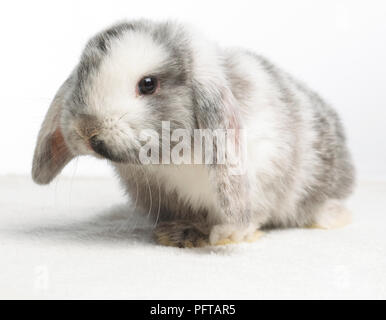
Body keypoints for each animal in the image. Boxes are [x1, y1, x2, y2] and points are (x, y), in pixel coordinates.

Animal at [31, 20, 354, 248]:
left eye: (148, 84)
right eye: (82, 78)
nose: (87, 129)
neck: (172, 160)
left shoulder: (264, 176)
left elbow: (250, 216)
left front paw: (227, 235)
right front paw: (178, 235)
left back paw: (331, 218)